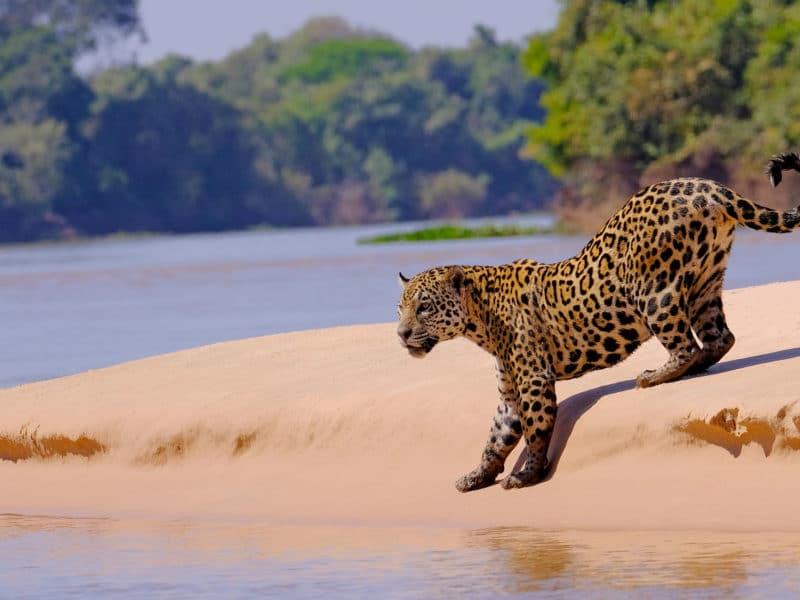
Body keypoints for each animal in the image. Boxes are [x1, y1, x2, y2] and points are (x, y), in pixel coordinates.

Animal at [396, 152, 800, 492]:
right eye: (399, 310)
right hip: (707, 279)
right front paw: (477, 475)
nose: (401, 334)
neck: (481, 316)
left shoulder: (533, 378)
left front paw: (527, 475)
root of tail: (707, 185)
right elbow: (496, 437)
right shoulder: (510, 390)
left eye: (424, 308)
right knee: (720, 338)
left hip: (655, 291)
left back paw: (654, 376)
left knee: (685, 345)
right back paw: (694, 366)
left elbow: (535, 430)